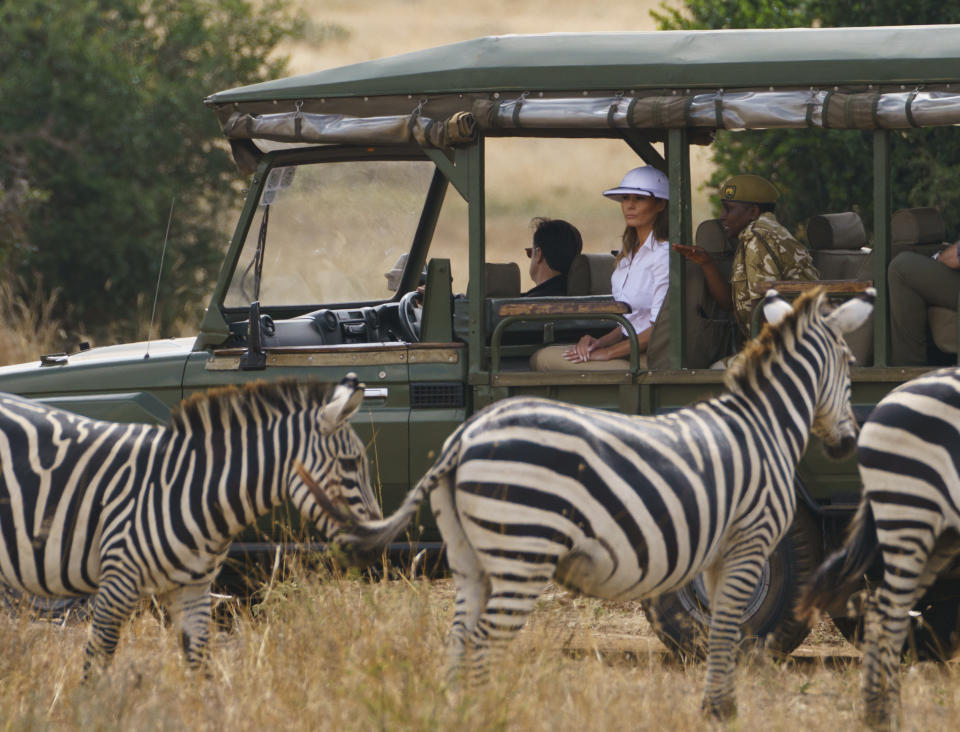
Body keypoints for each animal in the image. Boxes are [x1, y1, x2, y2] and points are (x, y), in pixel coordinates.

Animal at [0, 374, 380, 676]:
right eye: (351, 463)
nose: (378, 540)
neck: (191, 487)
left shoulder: (193, 590)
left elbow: (201, 668)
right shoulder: (116, 583)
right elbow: (96, 666)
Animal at [310, 288, 876, 720]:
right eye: (849, 363)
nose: (849, 444)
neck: (763, 422)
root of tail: (462, 441)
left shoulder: (725, 548)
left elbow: (724, 630)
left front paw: (718, 706)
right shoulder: (749, 540)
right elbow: (727, 630)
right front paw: (720, 709)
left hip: (472, 557)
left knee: (459, 639)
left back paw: (459, 712)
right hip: (521, 550)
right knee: (482, 640)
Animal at [800, 368, 960, 728]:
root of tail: (892, 397)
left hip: (939, 534)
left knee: (883, 608)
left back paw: (879, 711)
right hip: (910, 512)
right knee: (889, 611)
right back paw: (887, 715)